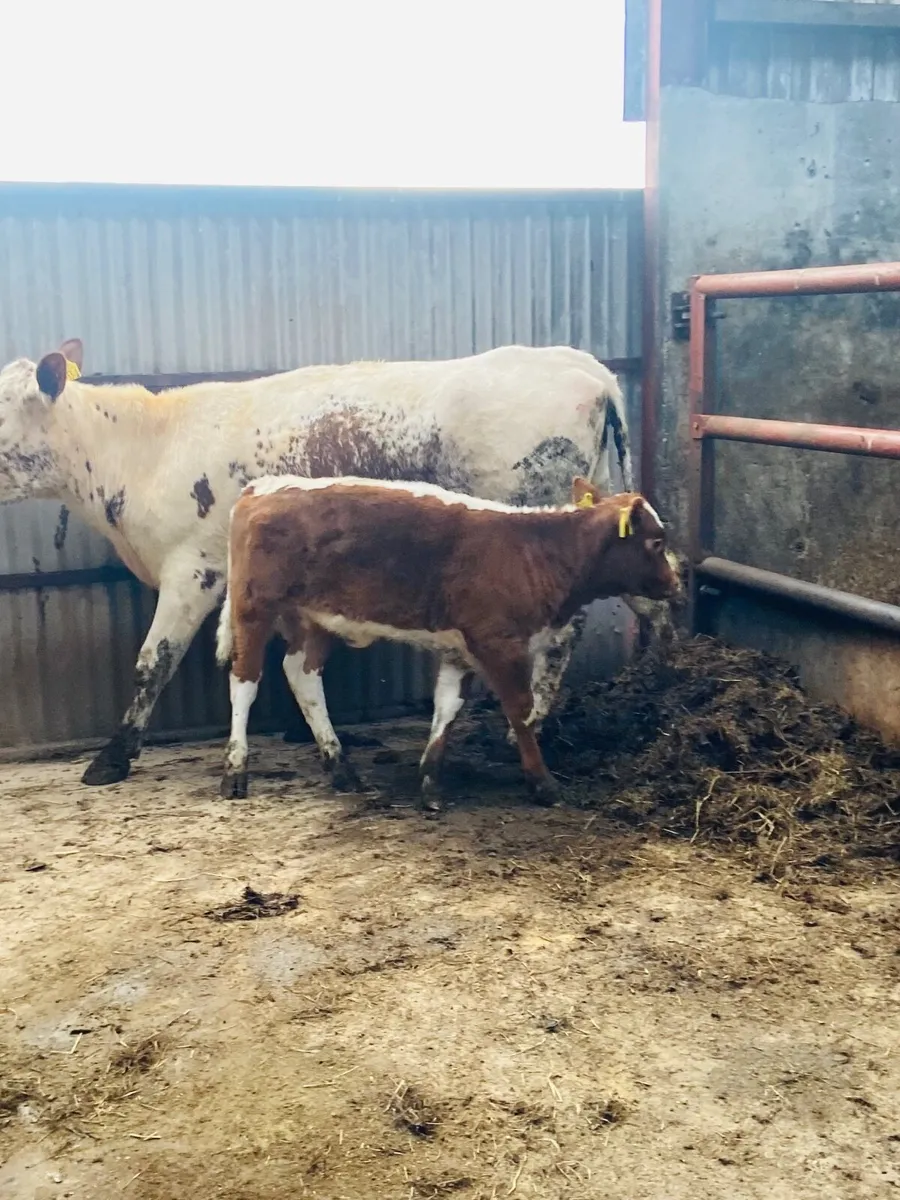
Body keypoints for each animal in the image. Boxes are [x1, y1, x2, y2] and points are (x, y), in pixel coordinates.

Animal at [0, 338, 659, 787]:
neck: (145, 450)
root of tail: (586, 367)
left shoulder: (194, 570)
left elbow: (151, 663)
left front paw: (112, 756)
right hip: (603, 509)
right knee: (647, 603)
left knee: (564, 632)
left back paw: (531, 723)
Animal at [214, 474, 681, 807]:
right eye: (657, 541)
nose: (676, 583)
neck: (537, 553)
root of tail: (265, 486)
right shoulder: (500, 644)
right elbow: (521, 712)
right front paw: (542, 782)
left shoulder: (460, 651)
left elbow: (447, 710)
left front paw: (430, 781)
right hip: (254, 608)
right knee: (244, 681)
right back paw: (235, 770)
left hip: (313, 620)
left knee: (303, 677)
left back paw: (340, 765)